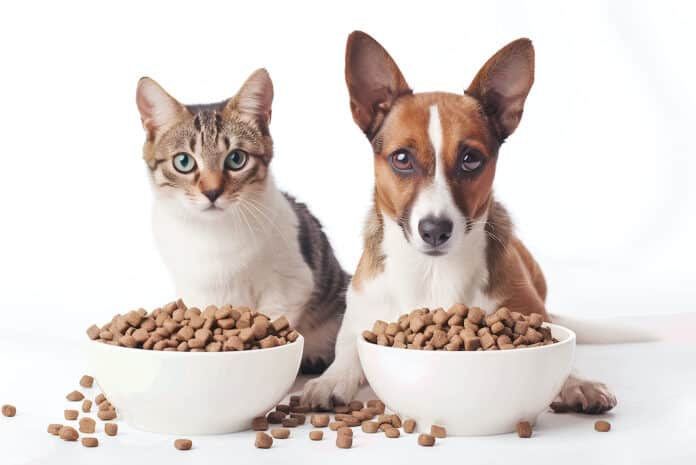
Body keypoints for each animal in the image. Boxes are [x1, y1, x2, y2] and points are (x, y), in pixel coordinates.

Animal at [135, 68, 348, 370]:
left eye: (236, 159)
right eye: (184, 162)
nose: (212, 191)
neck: (213, 234)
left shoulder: (292, 285)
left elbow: (274, 320)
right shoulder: (196, 292)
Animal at [302, 30, 616, 412]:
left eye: (471, 159)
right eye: (401, 159)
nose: (435, 230)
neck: (433, 273)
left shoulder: (527, 314)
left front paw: (576, 382)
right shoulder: (361, 317)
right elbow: (348, 352)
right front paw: (331, 379)